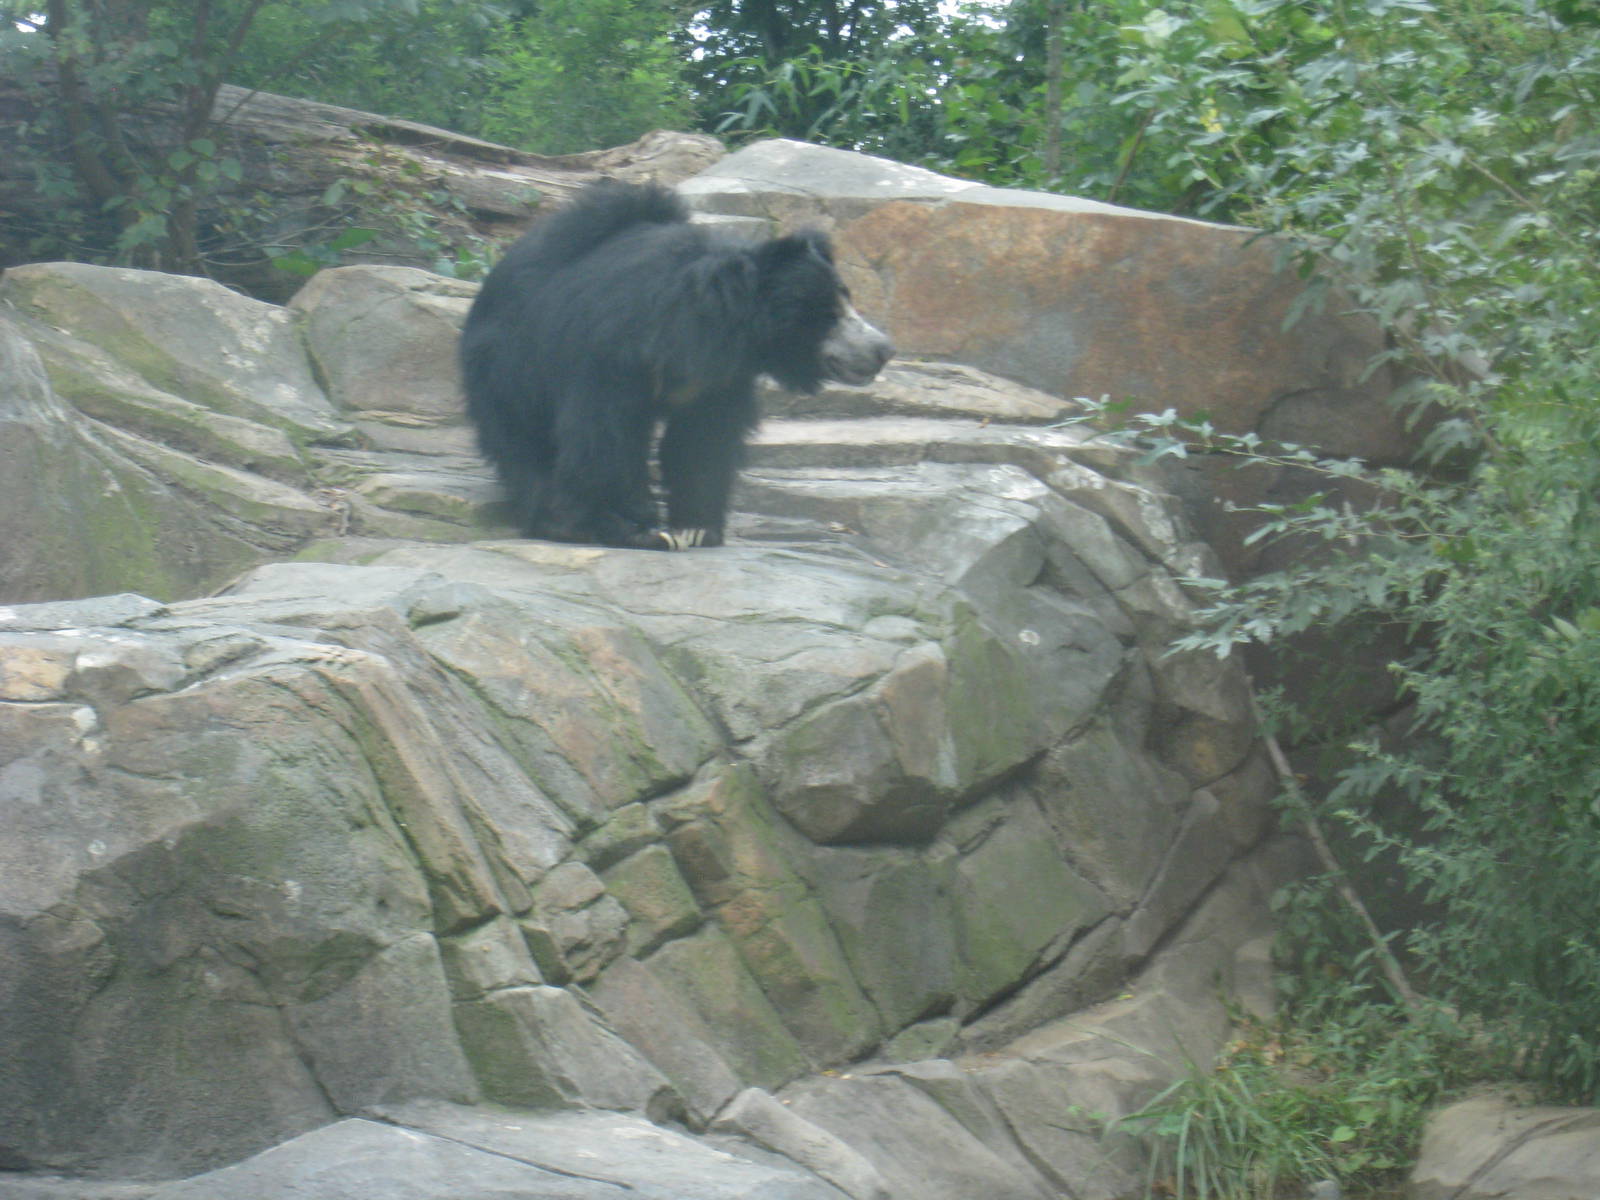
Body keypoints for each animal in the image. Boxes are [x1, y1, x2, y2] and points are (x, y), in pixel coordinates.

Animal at [458, 180, 894, 550]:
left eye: (847, 299)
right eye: (827, 314)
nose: (883, 349)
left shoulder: (719, 377)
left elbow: (704, 439)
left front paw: (697, 529)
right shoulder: (612, 355)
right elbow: (606, 436)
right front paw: (636, 528)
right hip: (509, 362)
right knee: (523, 440)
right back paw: (554, 519)